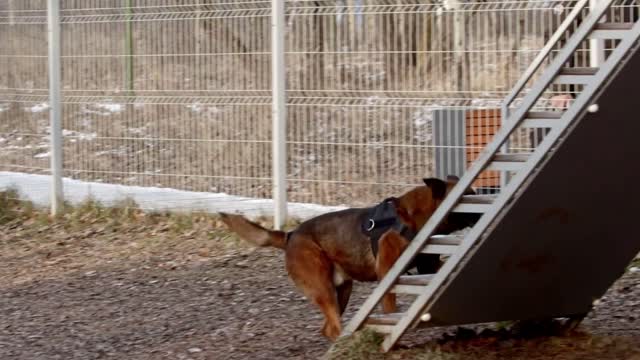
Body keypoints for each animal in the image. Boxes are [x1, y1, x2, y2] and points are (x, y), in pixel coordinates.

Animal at [220, 177, 476, 340]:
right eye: (466, 196)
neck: (410, 218)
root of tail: (290, 235)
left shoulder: (428, 268)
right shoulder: (387, 276)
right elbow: (390, 310)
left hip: (341, 292)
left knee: (328, 329)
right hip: (324, 290)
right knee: (333, 328)